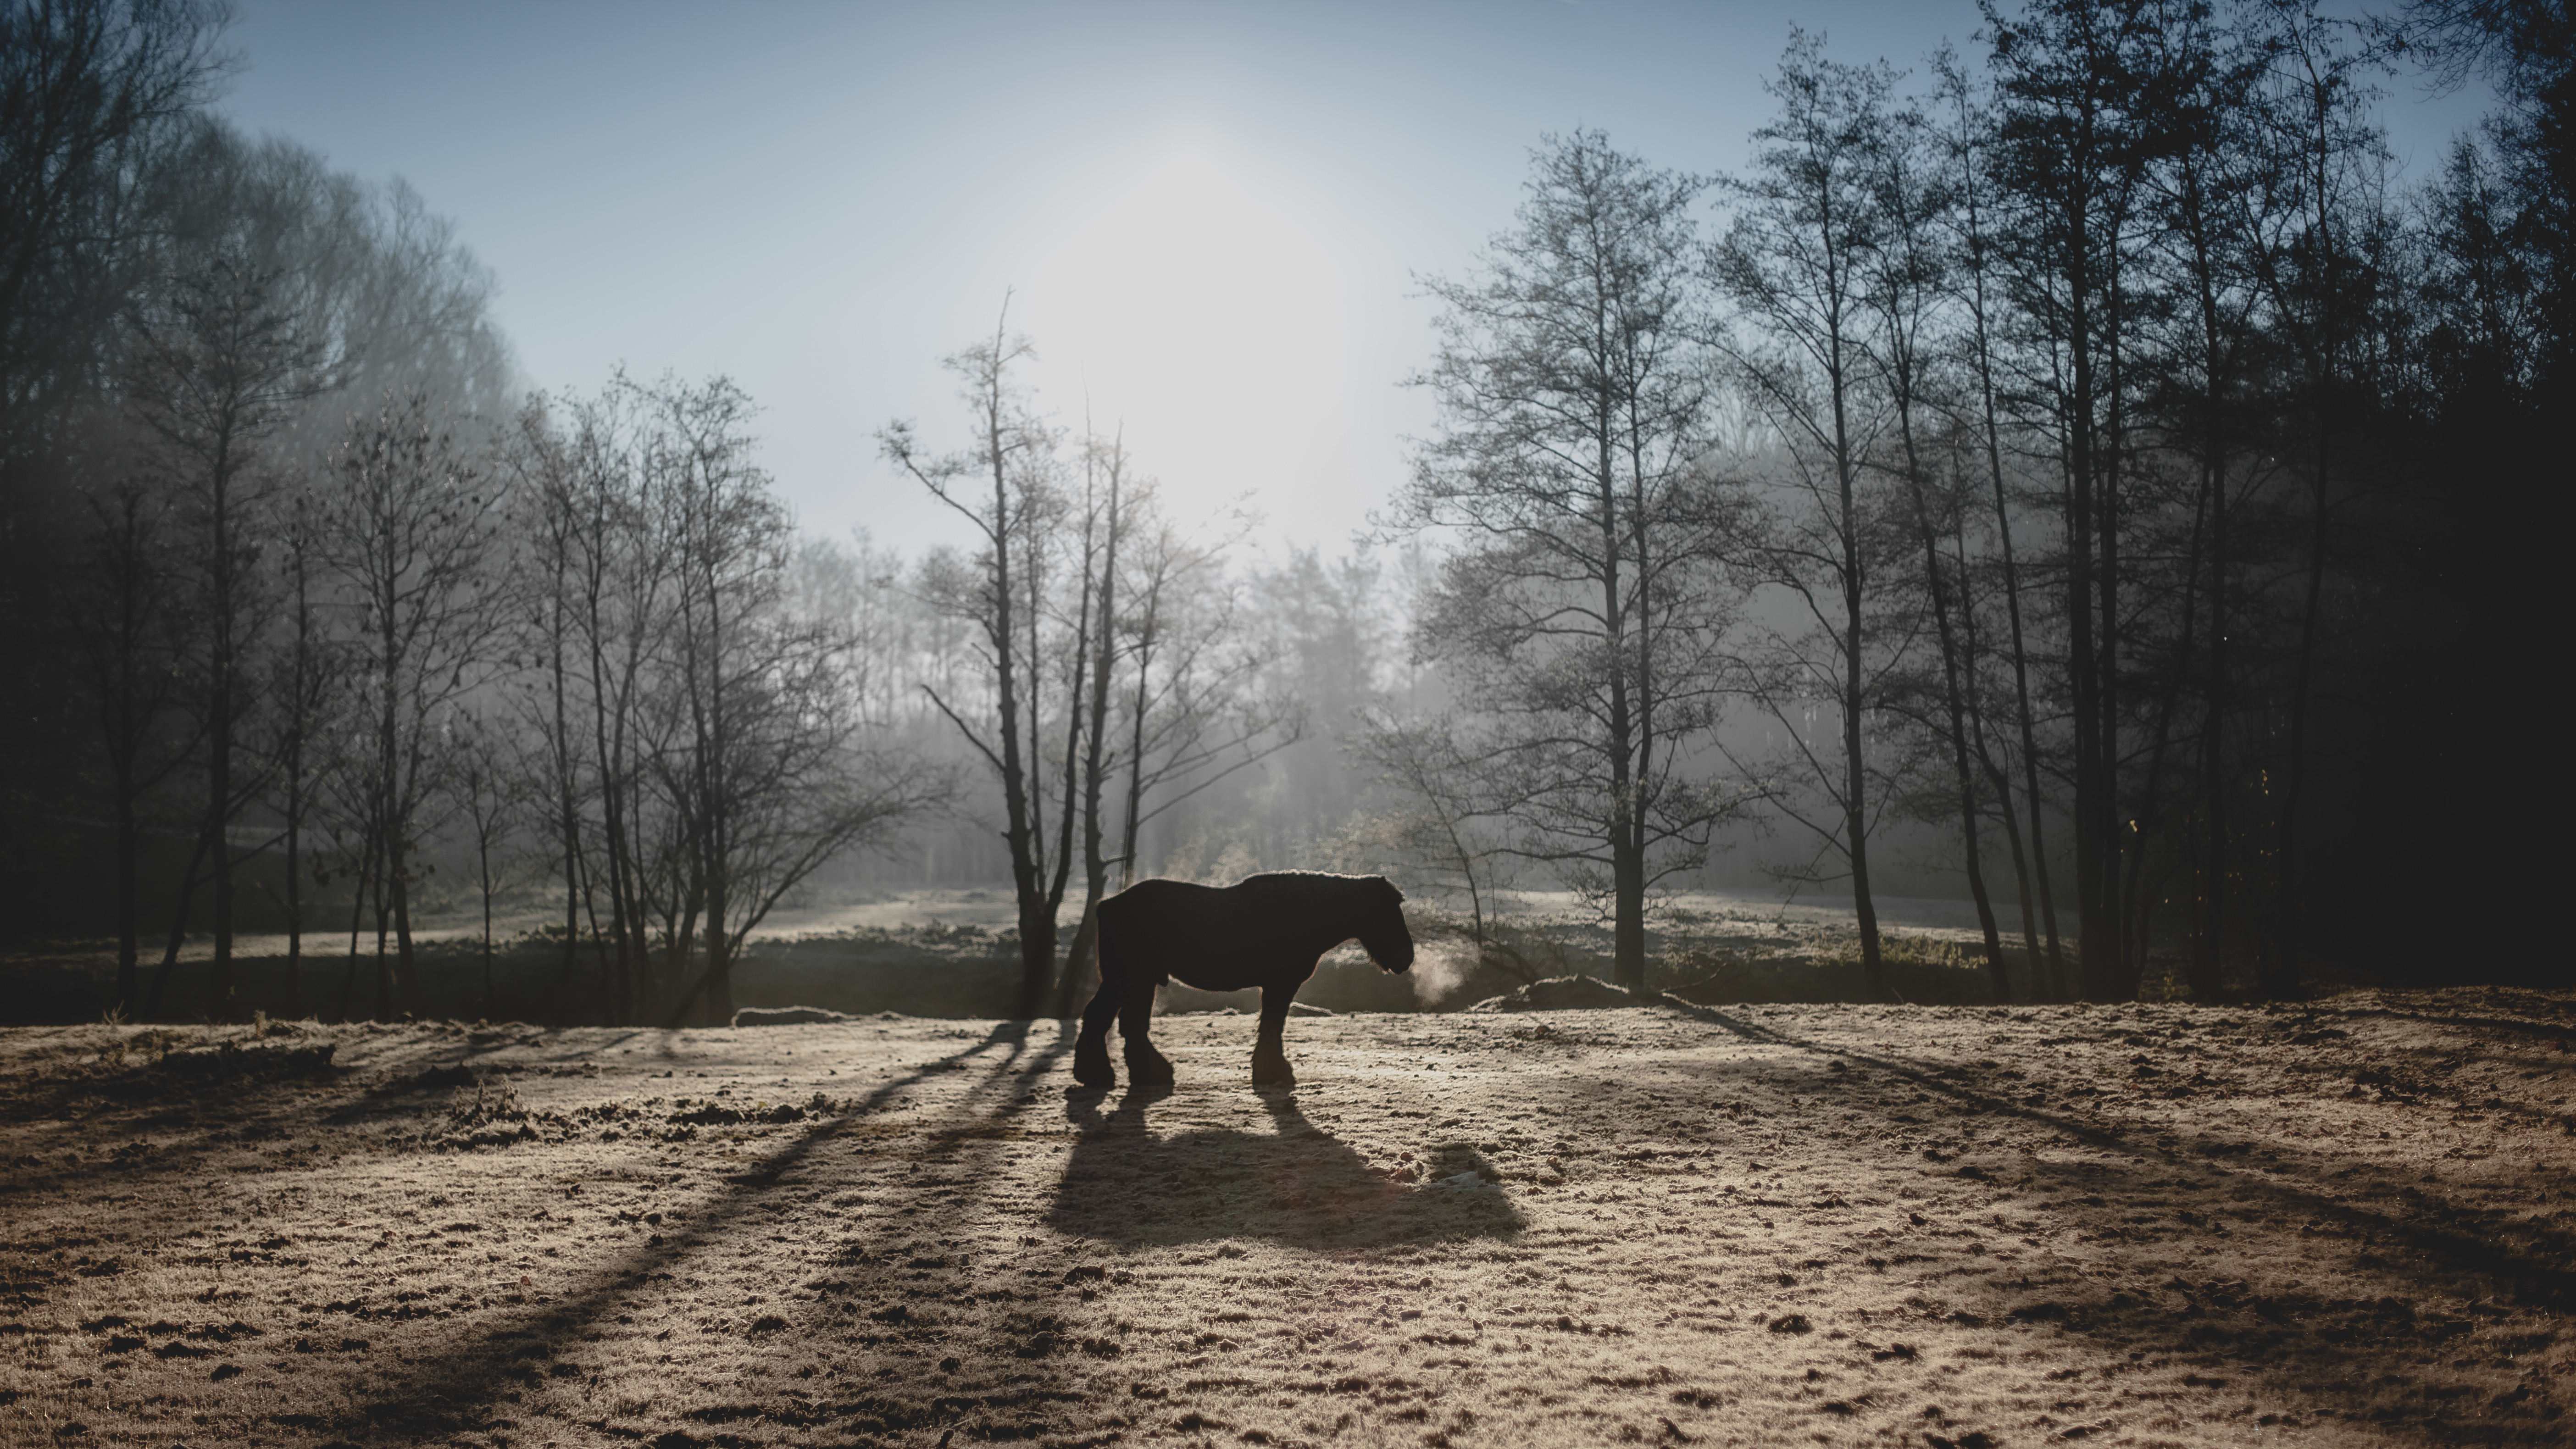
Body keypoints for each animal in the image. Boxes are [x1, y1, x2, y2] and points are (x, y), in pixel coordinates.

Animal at [1072, 872, 1415, 1092]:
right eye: (1387, 910)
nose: (1407, 957)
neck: (1300, 914)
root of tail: (1107, 904)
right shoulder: (1280, 984)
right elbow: (1273, 1024)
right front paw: (1274, 1071)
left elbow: (1272, 1024)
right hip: (1132, 978)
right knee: (1116, 1020)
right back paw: (1117, 1075)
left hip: (1132, 980)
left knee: (1116, 1021)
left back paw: (1121, 1075)